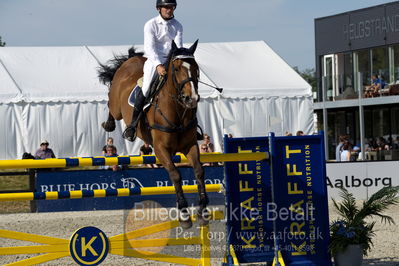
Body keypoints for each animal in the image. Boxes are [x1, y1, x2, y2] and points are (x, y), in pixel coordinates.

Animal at [98, 40, 208, 228]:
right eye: (176, 68)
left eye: (196, 68)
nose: (191, 99)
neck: (177, 111)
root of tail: (130, 60)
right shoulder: (161, 149)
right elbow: (175, 175)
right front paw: (184, 215)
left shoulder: (190, 145)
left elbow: (199, 171)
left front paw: (202, 210)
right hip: (117, 107)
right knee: (111, 106)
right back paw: (110, 124)